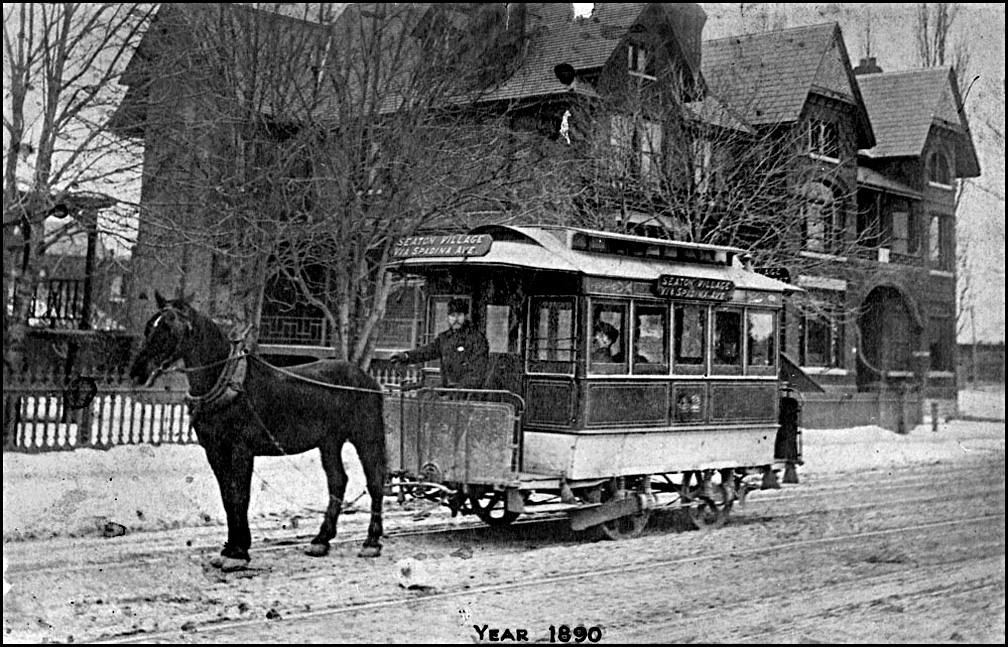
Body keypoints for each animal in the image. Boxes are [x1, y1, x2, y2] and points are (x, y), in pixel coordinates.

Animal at [128, 292, 387, 568]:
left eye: (169, 328)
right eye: (149, 326)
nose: (138, 372)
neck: (227, 381)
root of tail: (367, 379)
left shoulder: (241, 450)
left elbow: (240, 496)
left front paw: (239, 552)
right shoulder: (215, 451)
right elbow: (227, 497)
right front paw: (231, 548)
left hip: (366, 436)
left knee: (375, 481)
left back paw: (371, 542)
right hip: (329, 442)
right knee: (337, 481)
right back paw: (321, 539)